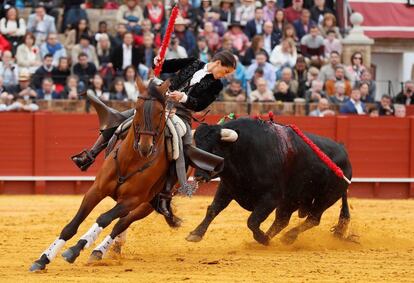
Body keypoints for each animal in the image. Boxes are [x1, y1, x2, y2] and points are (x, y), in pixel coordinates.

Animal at [29, 77, 171, 272]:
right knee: (121, 223)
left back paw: (100, 250)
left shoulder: (131, 200)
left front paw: (75, 249)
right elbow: (72, 225)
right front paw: (43, 258)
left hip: (147, 204)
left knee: (121, 223)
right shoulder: (96, 190)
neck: (130, 161)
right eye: (137, 108)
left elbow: (104, 218)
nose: (145, 147)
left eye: (161, 112)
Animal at [186, 117, 350, 246]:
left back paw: (287, 237)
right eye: (196, 149)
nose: (199, 176)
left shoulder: (271, 198)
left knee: (313, 219)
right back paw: (270, 238)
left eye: (214, 150)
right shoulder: (227, 187)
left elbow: (252, 220)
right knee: (282, 220)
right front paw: (196, 234)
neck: (243, 150)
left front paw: (262, 238)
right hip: (292, 199)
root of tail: (344, 153)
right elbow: (213, 209)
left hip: (326, 198)